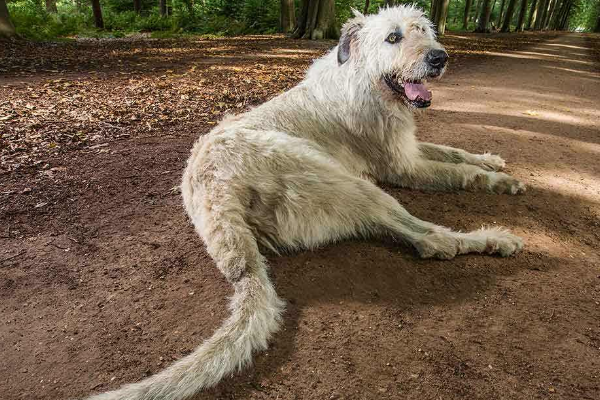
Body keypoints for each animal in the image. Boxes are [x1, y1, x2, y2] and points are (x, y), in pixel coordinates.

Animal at [85, 5, 524, 400]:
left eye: (423, 30)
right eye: (393, 37)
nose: (439, 57)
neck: (363, 79)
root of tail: (217, 199)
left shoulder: (410, 149)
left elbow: (453, 152)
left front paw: (490, 160)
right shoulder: (403, 167)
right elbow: (457, 173)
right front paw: (500, 181)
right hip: (347, 182)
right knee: (431, 240)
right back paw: (493, 239)